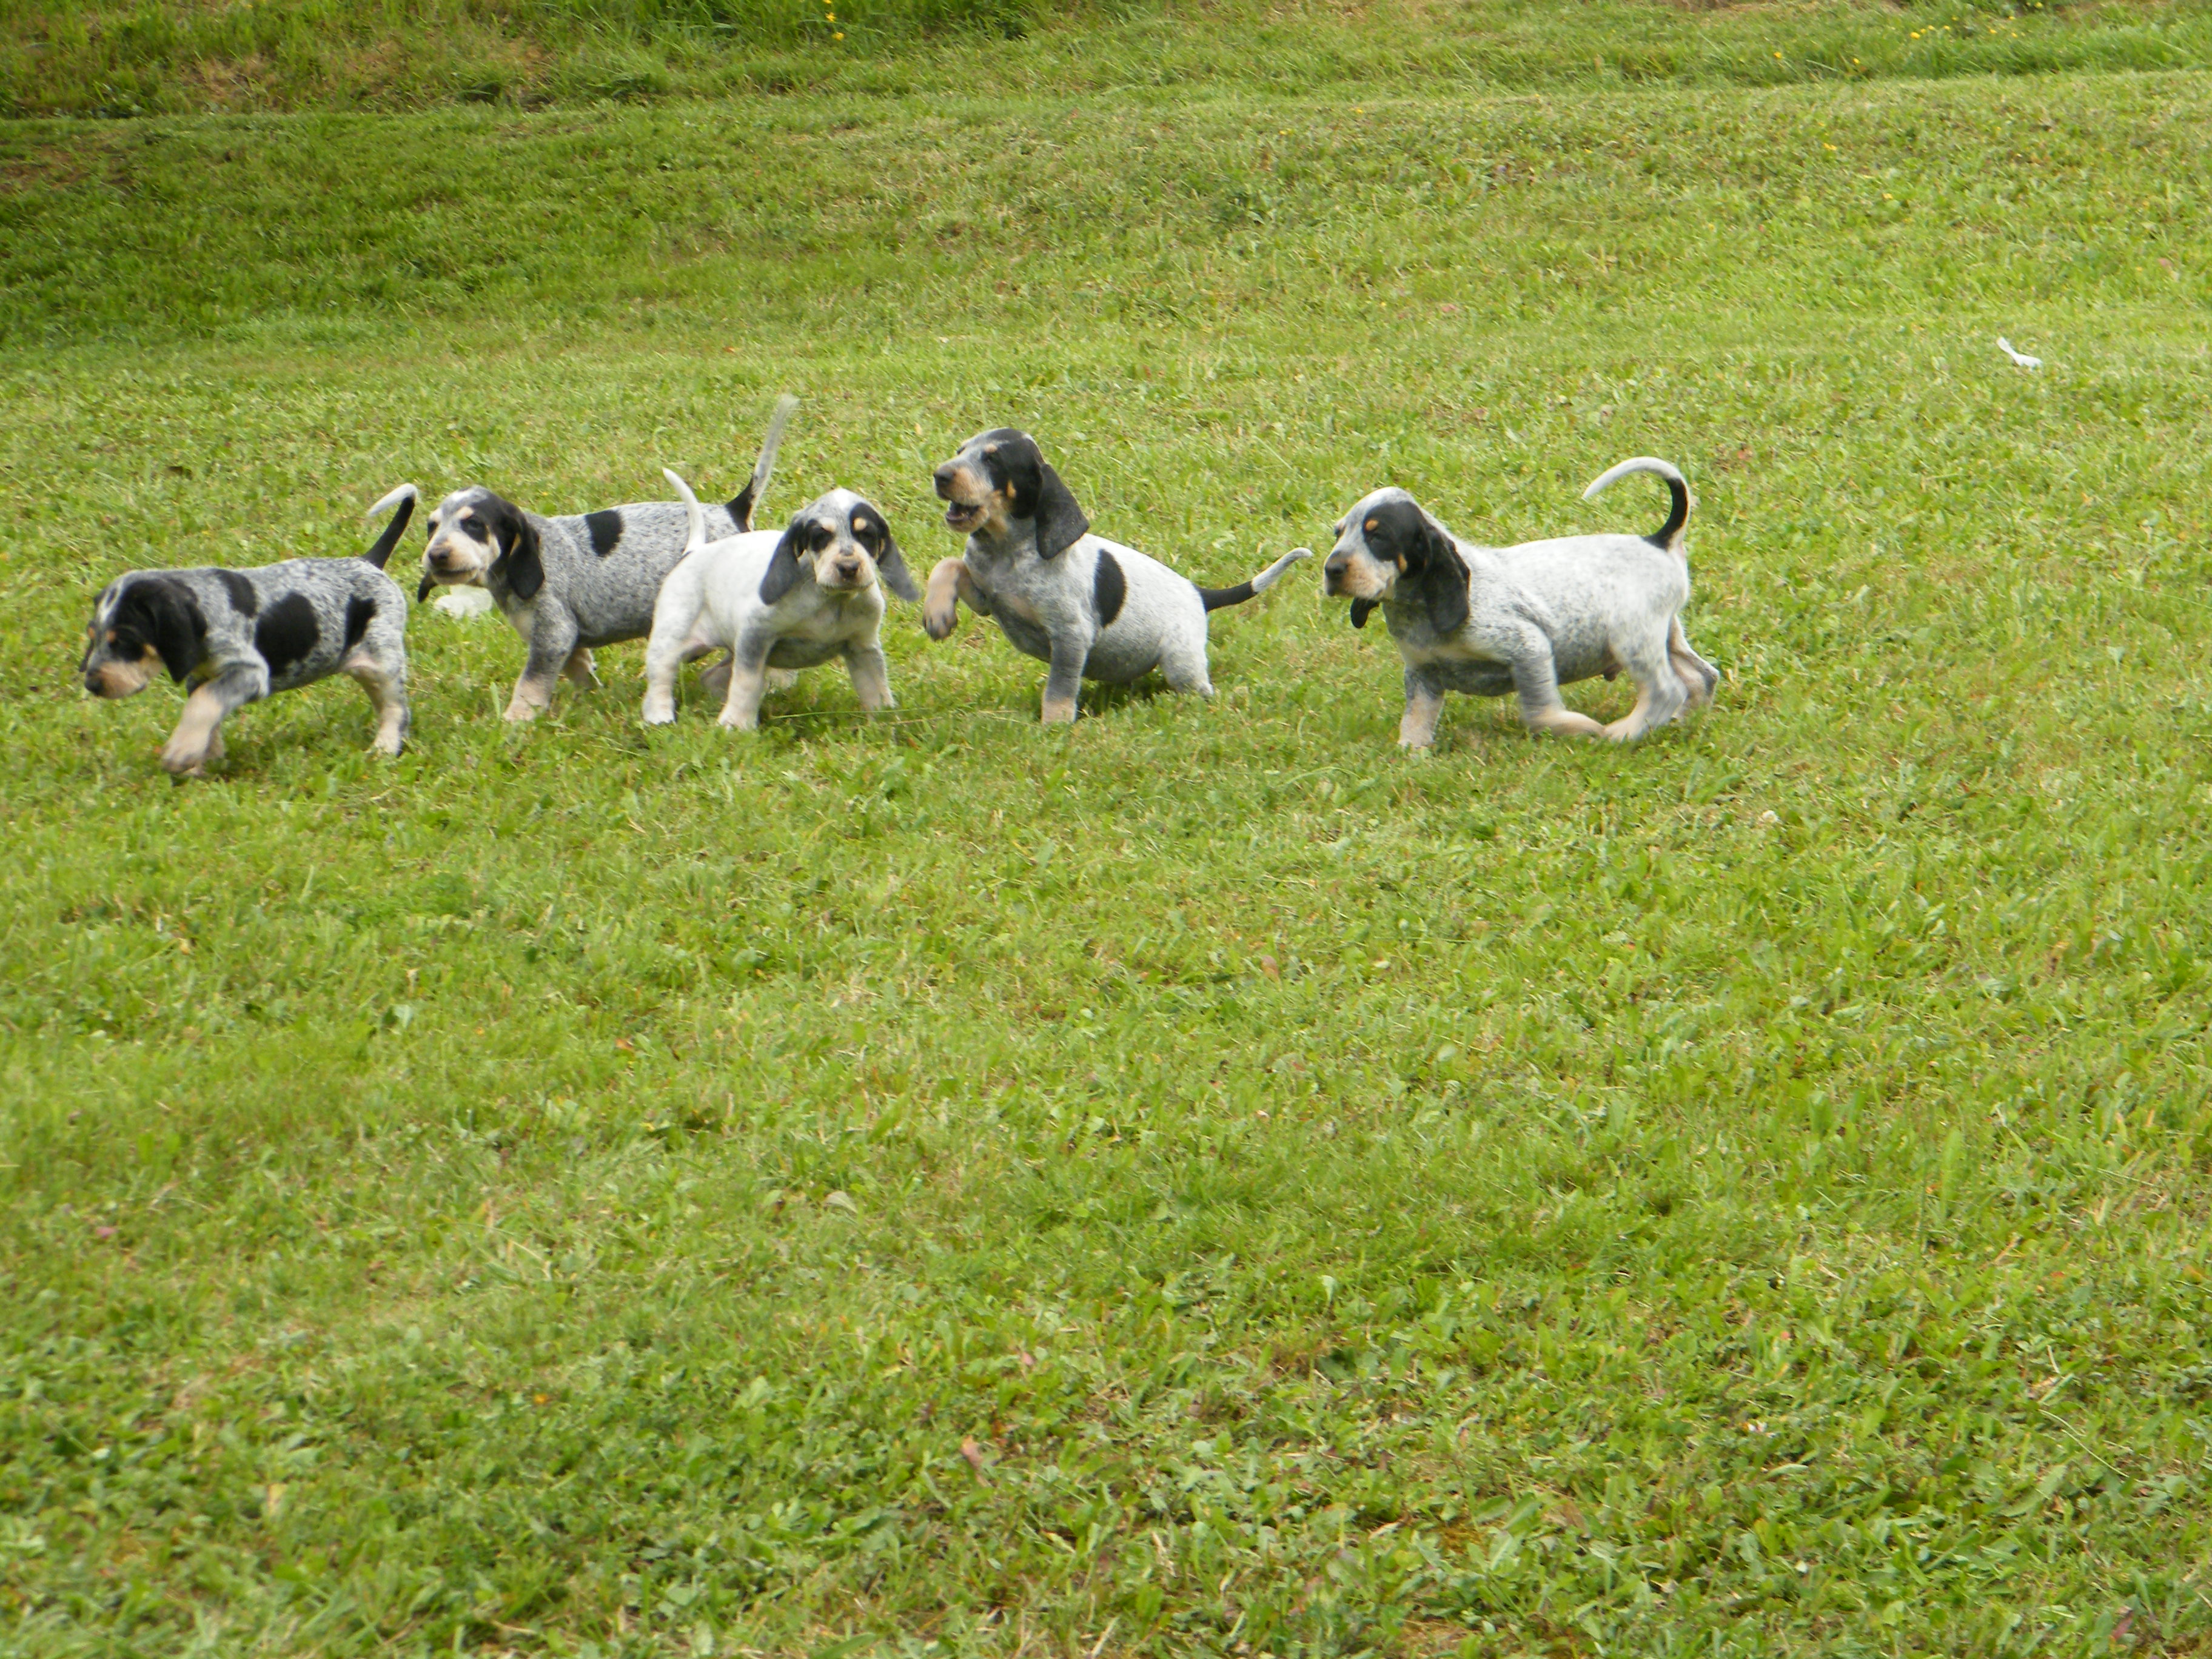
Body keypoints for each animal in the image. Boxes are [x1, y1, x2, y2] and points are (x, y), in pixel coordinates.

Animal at [80, 484, 418, 779]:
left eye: (125, 640)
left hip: (381, 664)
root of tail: (368, 562)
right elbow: (206, 711)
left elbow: (202, 705)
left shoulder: (250, 673)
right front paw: (204, 759)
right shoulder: (202, 677)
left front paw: (181, 753)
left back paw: (385, 747)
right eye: (93, 638)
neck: (205, 605)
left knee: (396, 709)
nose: (92, 684)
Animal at [418, 398, 800, 725]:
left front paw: (516, 719)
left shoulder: (553, 635)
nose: (436, 555)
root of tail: (732, 510)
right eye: (432, 526)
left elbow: (530, 684)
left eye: (473, 525)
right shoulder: (566, 641)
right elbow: (579, 670)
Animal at [641, 469, 916, 725]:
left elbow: (876, 689)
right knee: (660, 679)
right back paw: (660, 716)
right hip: (672, 643)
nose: (849, 568)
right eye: (820, 537)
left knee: (711, 677)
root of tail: (695, 552)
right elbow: (747, 684)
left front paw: (884, 723)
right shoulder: (755, 639)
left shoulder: (863, 648)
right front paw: (736, 724)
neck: (831, 602)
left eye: (867, 535)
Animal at [924, 424, 1301, 725]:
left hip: (1182, 664)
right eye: (960, 452)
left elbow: (1059, 690)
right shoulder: (987, 600)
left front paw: (1054, 730)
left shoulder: (1071, 635)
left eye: (993, 461)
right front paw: (937, 614)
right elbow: (947, 564)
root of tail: (1198, 593)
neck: (1008, 550)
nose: (940, 475)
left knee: (1201, 689)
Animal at [1318, 458, 1716, 752]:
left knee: (1667, 690)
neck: (1417, 611)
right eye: (1339, 534)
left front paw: (1577, 727)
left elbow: (1539, 711)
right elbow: (1414, 723)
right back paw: (1679, 722)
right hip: (1664, 638)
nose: (1332, 569)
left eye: (1378, 536)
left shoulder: (1528, 646)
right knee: (1703, 677)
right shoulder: (1422, 676)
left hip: (1631, 640)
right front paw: (1410, 756)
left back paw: (1626, 732)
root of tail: (1658, 541)